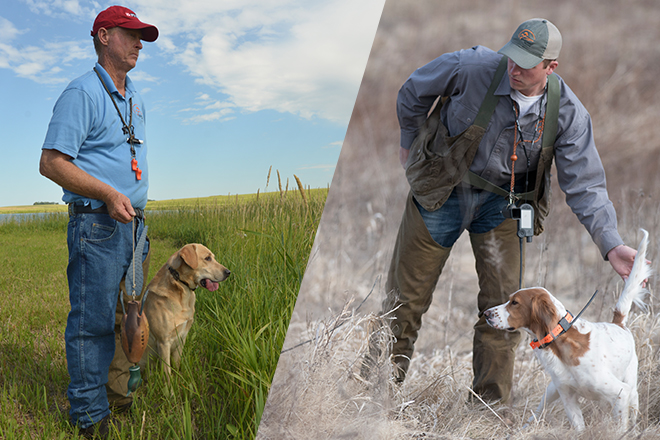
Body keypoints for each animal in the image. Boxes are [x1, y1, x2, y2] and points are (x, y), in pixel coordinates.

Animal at [141, 242, 231, 376]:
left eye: (213, 257)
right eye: (207, 258)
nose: (228, 272)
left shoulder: (182, 337)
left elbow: (177, 364)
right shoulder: (164, 343)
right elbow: (167, 372)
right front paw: (171, 382)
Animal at [482, 230, 652, 434]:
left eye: (514, 302)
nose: (485, 314)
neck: (560, 342)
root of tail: (619, 324)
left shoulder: (620, 393)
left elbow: (619, 429)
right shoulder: (567, 396)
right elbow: (578, 428)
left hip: (632, 390)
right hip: (551, 390)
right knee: (537, 413)